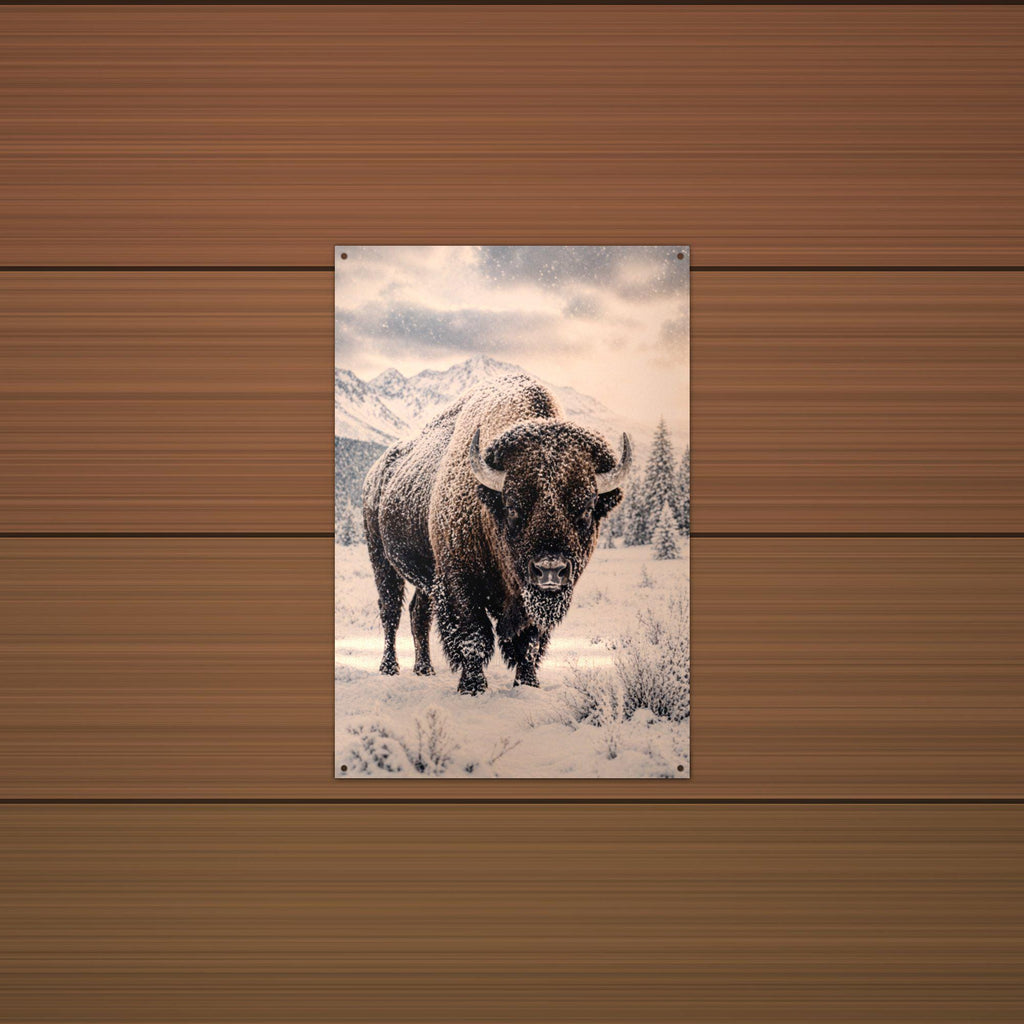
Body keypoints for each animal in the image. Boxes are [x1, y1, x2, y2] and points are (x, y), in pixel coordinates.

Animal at [362, 373, 631, 695]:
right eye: (513, 506)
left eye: (588, 509)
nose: (550, 570)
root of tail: (377, 472)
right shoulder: (460, 583)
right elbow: (474, 638)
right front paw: (472, 686)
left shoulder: (527, 598)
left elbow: (529, 644)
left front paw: (527, 684)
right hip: (381, 559)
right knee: (390, 612)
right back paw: (389, 668)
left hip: (425, 577)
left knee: (419, 613)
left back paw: (424, 669)